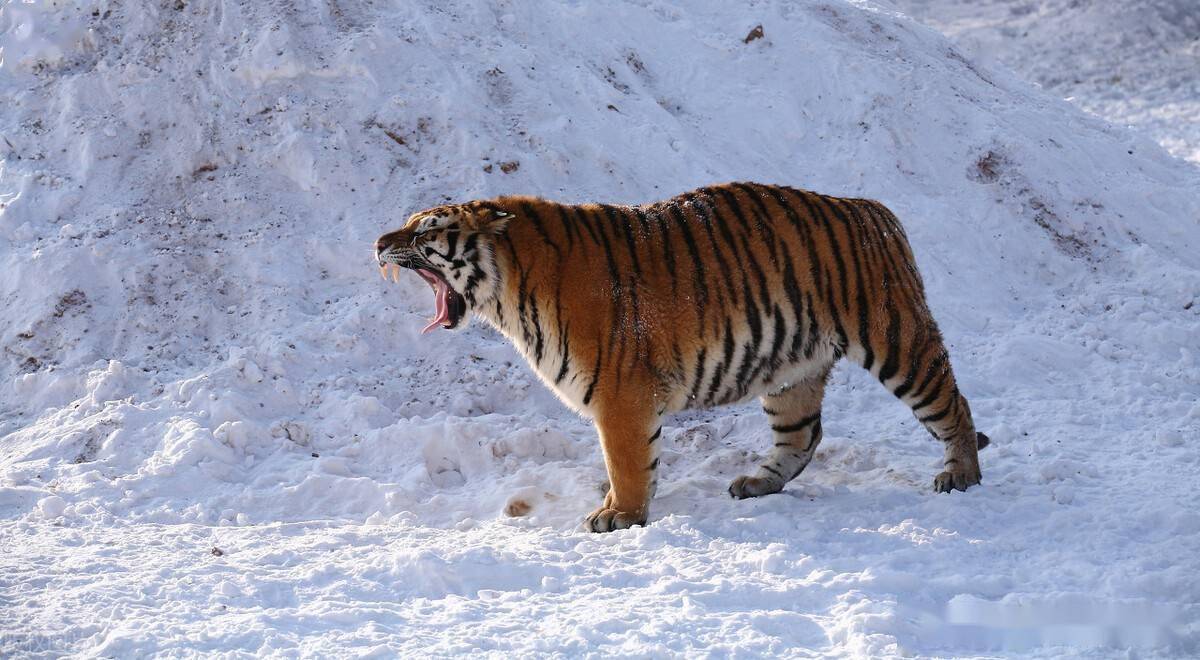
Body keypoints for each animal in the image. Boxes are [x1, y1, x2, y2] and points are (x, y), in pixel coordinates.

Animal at [372, 181, 984, 532]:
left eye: (425, 231)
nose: (379, 243)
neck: (510, 291)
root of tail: (871, 208)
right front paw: (620, 508)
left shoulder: (620, 395)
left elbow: (626, 461)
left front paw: (619, 515)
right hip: (791, 373)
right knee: (803, 435)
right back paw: (757, 483)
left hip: (897, 342)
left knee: (953, 405)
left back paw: (961, 475)